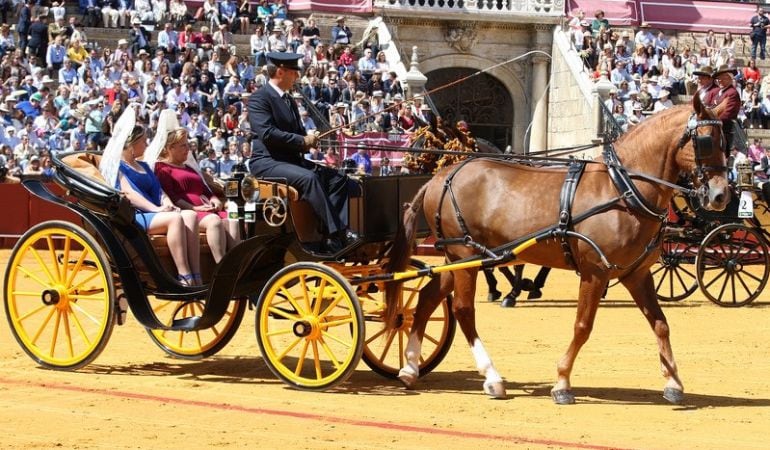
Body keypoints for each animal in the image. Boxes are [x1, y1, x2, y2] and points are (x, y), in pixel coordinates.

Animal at [382, 95, 728, 404]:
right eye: (706, 141)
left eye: (725, 140)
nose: (721, 195)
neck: (622, 189)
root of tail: (440, 176)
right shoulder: (595, 271)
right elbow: (583, 326)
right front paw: (562, 382)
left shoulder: (637, 274)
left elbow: (660, 324)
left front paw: (674, 382)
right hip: (465, 256)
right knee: (463, 309)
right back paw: (492, 377)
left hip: (457, 258)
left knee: (427, 298)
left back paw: (410, 367)